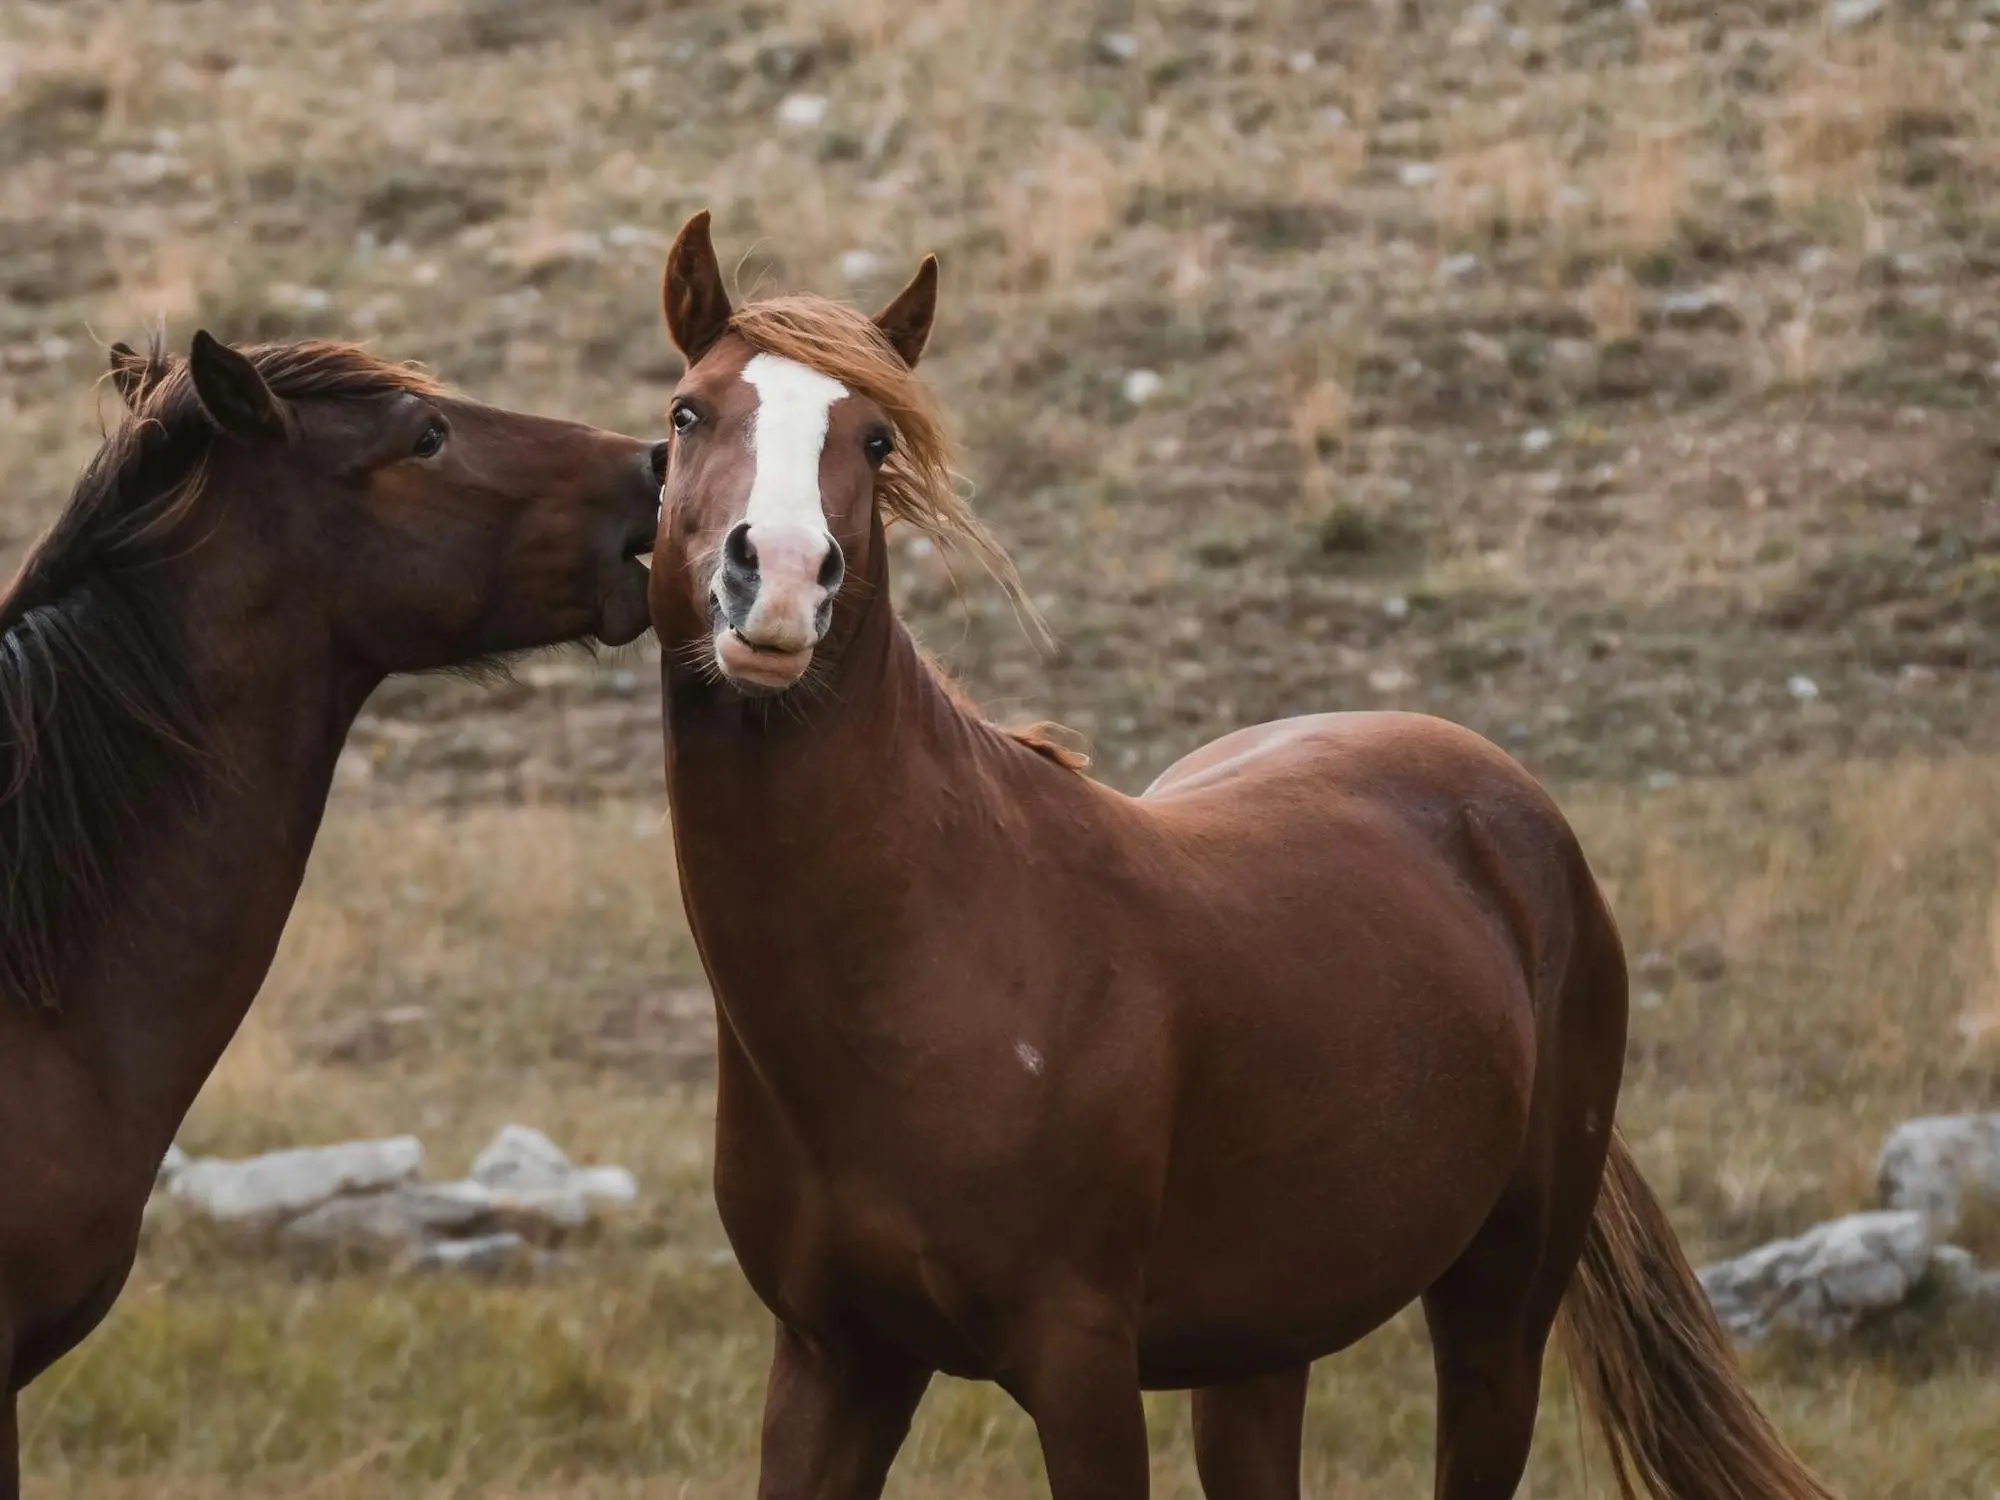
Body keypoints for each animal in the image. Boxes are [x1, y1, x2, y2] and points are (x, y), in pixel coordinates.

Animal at [648, 214, 1832, 1500]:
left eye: (872, 438)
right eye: (686, 413)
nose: (777, 581)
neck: (922, 953)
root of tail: (1512, 808)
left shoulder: (1077, 1361)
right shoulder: (834, 1360)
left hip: (1498, 1314)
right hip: (1262, 1341)